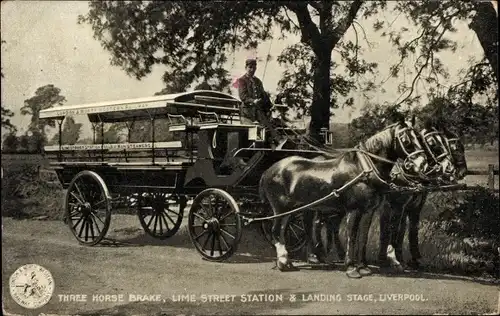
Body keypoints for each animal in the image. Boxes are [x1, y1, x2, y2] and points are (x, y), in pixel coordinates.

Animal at [258, 117, 430, 278]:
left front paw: (363, 266)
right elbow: (351, 237)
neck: (363, 169)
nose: (422, 164)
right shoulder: (353, 210)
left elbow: (363, 237)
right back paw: (283, 262)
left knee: (284, 231)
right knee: (276, 231)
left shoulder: (368, 211)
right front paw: (351, 267)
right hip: (280, 208)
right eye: (406, 140)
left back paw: (290, 261)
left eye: (419, 138)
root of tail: (269, 170)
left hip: (292, 209)